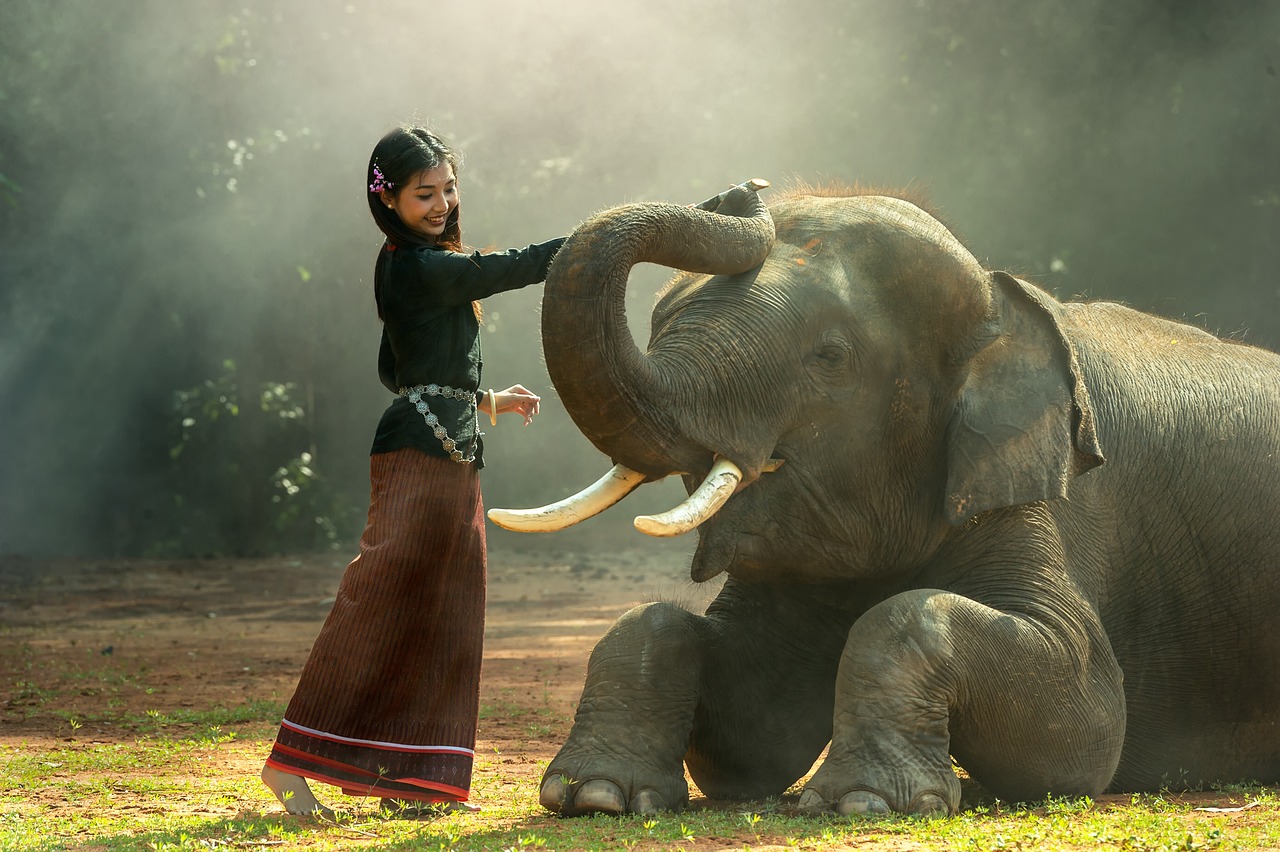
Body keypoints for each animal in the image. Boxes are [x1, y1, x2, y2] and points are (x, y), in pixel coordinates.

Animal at [488, 180, 1280, 817]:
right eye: (659, 325)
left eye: (830, 357)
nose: (742, 191)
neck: (1002, 300)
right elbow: (751, 729)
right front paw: (595, 797)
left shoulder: (1035, 491)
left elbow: (1084, 720)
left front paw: (864, 803)